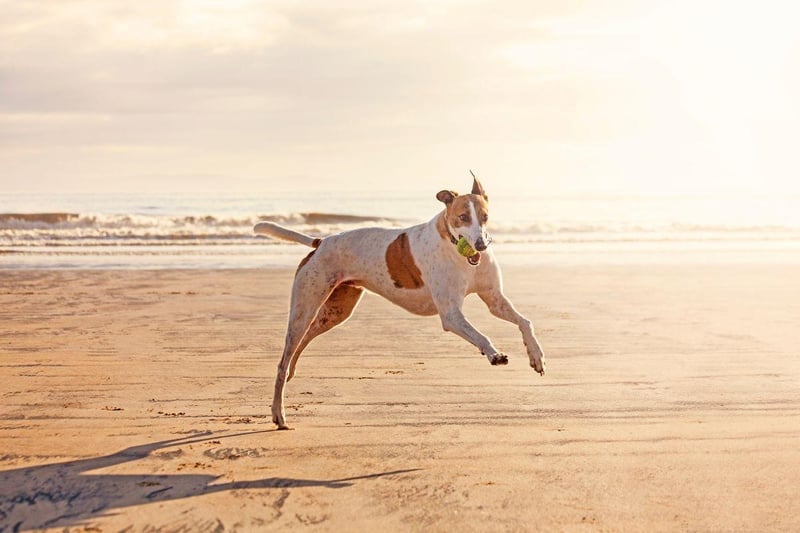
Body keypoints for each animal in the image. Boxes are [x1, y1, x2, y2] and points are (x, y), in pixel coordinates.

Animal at [253, 172, 548, 430]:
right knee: (283, 360)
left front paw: (536, 356)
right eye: (463, 217)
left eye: (485, 217)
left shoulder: (494, 299)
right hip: (305, 307)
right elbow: (482, 335)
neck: (458, 251)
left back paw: (291, 374)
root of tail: (320, 242)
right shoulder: (451, 314)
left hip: (335, 311)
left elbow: (525, 321)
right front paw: (494, 354)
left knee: (302, 343)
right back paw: (278, 414)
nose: (481, 245)